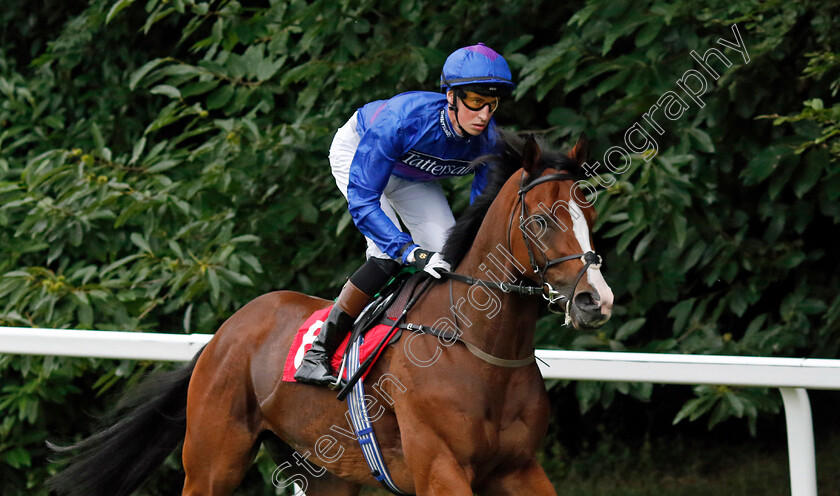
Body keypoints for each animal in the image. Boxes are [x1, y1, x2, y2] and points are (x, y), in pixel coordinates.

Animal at [49, 133, 612, 496]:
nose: (595, 300)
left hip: (327, 472)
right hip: (211, 462)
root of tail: (223, 335)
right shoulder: (441, 469)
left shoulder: (518, 468)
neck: (481, 350)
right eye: (540, 221)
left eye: (590, 212)